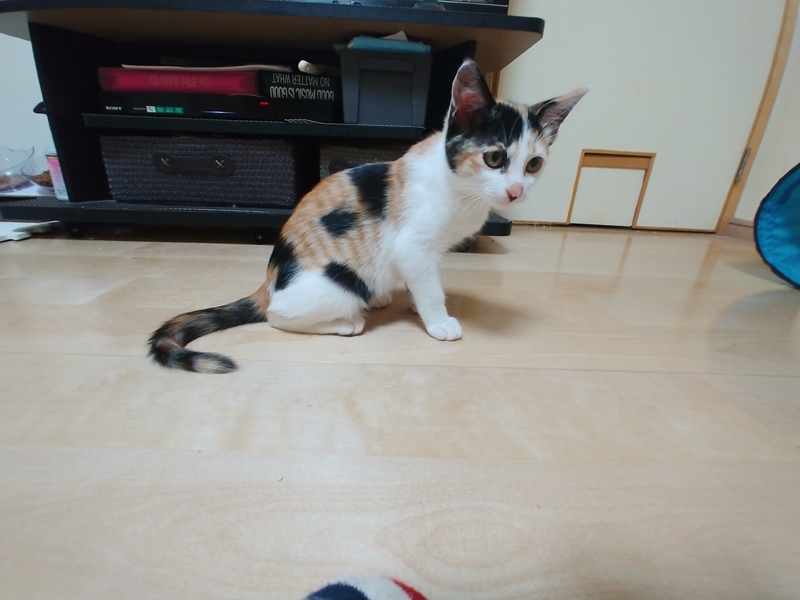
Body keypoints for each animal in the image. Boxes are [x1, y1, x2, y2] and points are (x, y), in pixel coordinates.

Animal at [148, 60, 587, 373]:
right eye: (494, 158)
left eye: (534, 164)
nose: (515, 191)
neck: (459, 190)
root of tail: (268, 284)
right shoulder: (413, 247)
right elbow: (429, 286)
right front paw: (438, 320)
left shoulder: (426, 255)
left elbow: (425, 281)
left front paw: (417, 304)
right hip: (337, 285)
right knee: (277, 316)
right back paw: (346, 321)